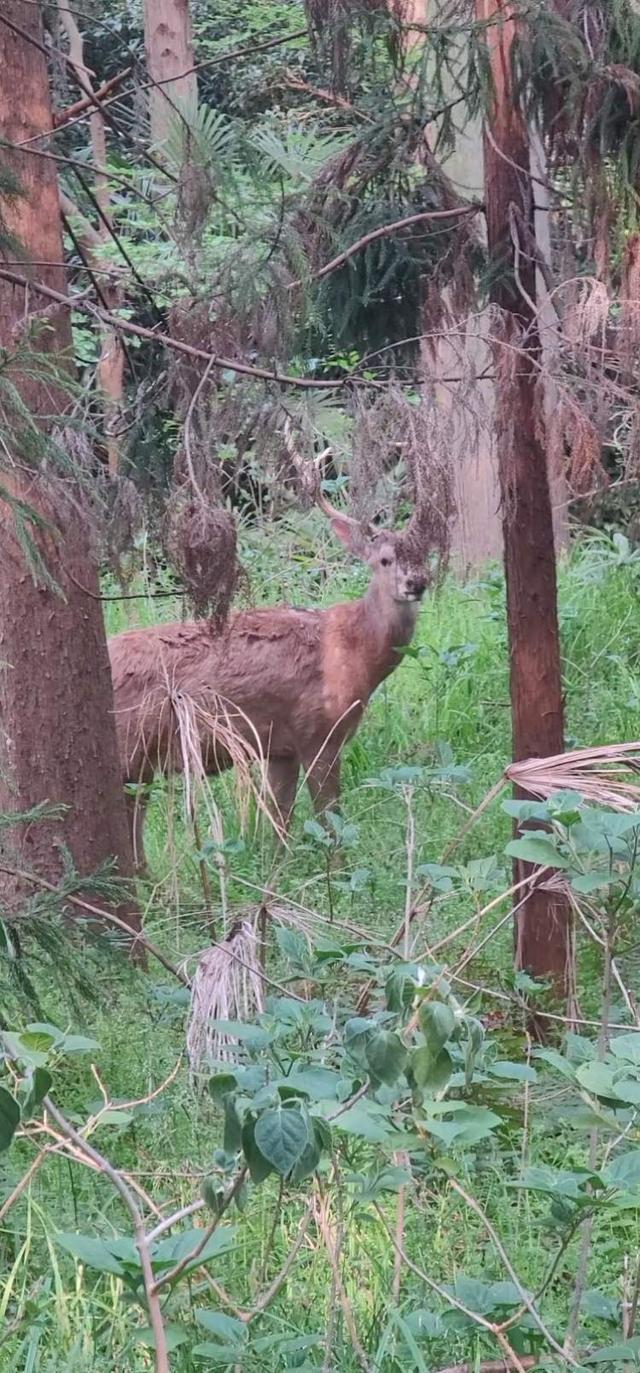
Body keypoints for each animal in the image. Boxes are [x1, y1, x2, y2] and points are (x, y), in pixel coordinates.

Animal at [108, 492, 431, 871]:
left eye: (424, 555)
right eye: (385, 559)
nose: (416, 583)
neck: (352, 650)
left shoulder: (280, 747)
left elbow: (280, 817)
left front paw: (276, 871)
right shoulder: (318, 732)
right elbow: (329, 816)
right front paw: (339, 869)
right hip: (130, 748)